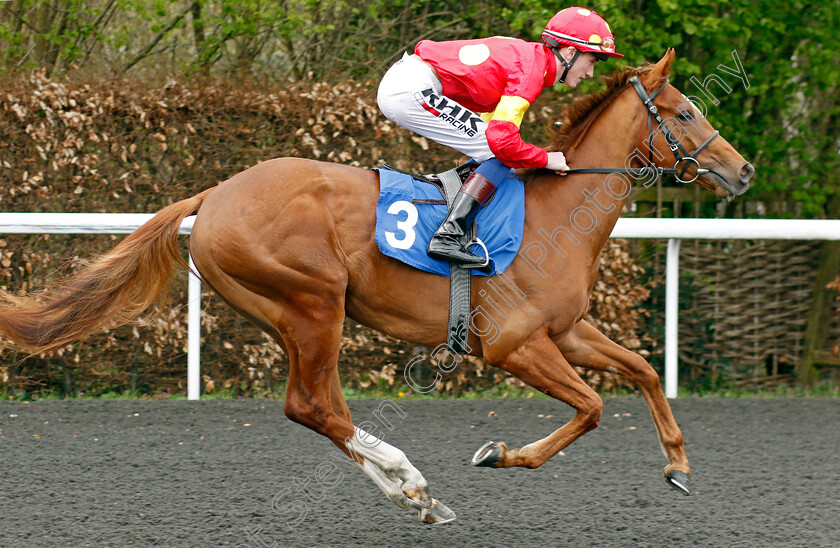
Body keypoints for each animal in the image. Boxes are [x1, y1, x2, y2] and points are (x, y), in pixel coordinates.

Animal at [0, 50, 748, 524]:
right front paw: (500, 454)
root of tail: (215, 195)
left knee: (324, 408)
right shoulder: (514, 345)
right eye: (684, 113)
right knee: (310, 406)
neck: (555, 213)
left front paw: (678, 465)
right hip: (311, 301)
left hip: (298, 314)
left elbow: (642, 370)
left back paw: (413, 496)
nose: (741, 170)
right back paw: (409, 479)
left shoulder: (566, 331)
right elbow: (591, 407)